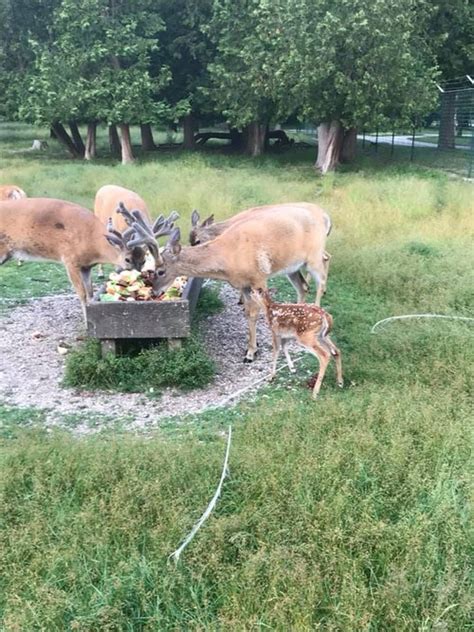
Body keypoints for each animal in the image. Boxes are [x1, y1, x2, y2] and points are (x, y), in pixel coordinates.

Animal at [0, 196, 147, 318]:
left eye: (144, 259)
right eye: (127, 259)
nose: (141, 278)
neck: (93, 243)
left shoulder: (86, 266)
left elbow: (90, 292)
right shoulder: (70, 260)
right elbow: (81, 293)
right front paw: (86, 321)